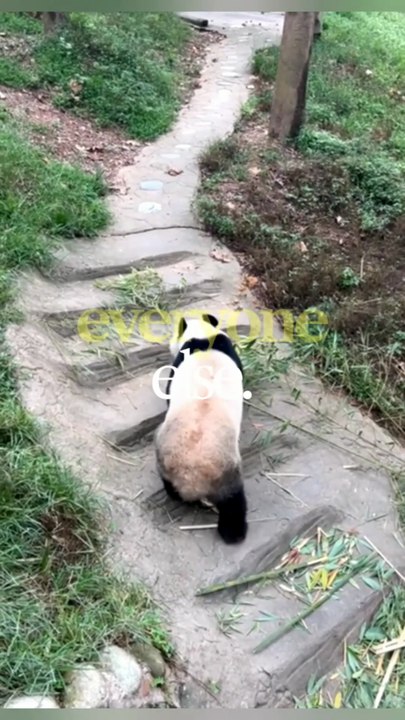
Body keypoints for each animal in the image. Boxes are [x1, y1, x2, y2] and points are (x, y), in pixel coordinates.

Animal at [154, 312, 247, 544]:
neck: (203, 335)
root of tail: (191, 477)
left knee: (233, 501)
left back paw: (233, 533)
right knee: (233, 500)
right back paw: (233, 532)